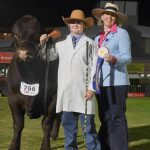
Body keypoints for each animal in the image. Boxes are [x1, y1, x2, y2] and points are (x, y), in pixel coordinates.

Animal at [6, 15, 60, 150]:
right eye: (15, 33)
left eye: (37, 33)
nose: (23, 53)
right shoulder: (12, 98)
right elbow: (18, 124)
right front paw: (14, 146)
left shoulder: (54, 97)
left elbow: (47, 123)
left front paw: (45, 146)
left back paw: (54, 134)